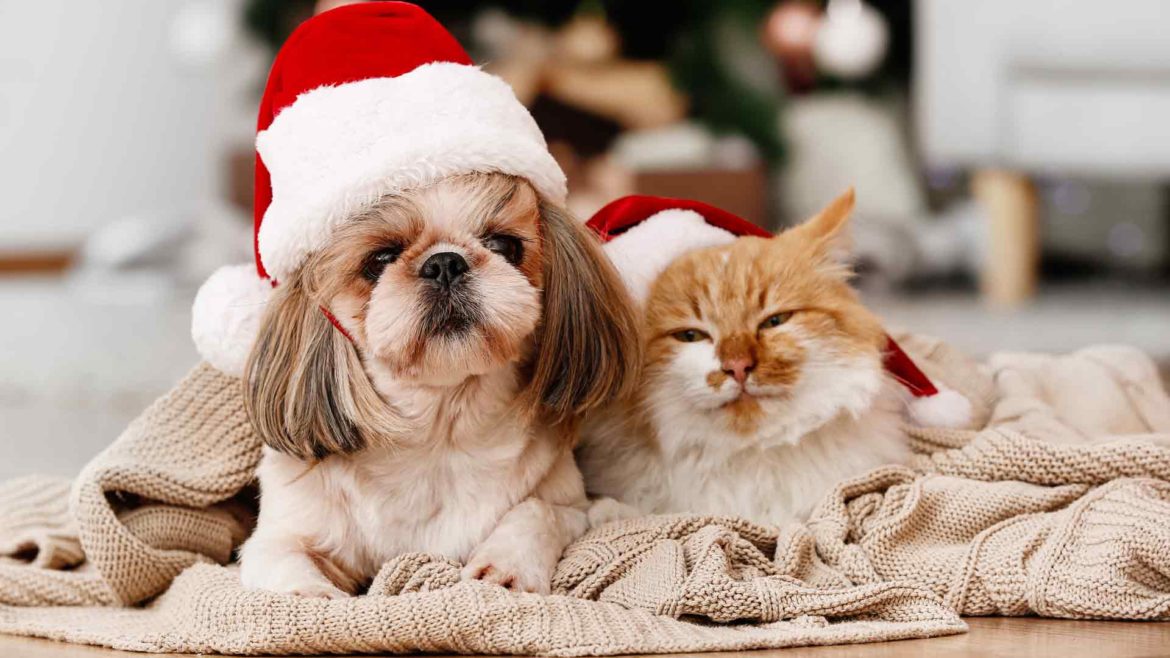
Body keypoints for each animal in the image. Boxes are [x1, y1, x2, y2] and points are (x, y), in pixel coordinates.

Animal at [236, 173, 641, 594]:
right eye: (379, 260)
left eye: (504, 245)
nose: (445, 262)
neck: (439, 432)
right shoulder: (283, 534)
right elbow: (286, 566)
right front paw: (312, 595)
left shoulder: (570, 505)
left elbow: (539, 511)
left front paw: (507, 566)